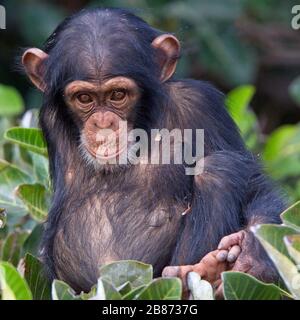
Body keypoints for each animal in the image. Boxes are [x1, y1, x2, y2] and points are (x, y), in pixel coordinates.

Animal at [22, 6, 284, 296]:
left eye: (118, 94)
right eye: (84, 98)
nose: (103, 124)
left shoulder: (201, 103)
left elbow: (253, 183)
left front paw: (254, 253)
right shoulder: (48, 116)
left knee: (217, 169)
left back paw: (210, 271)